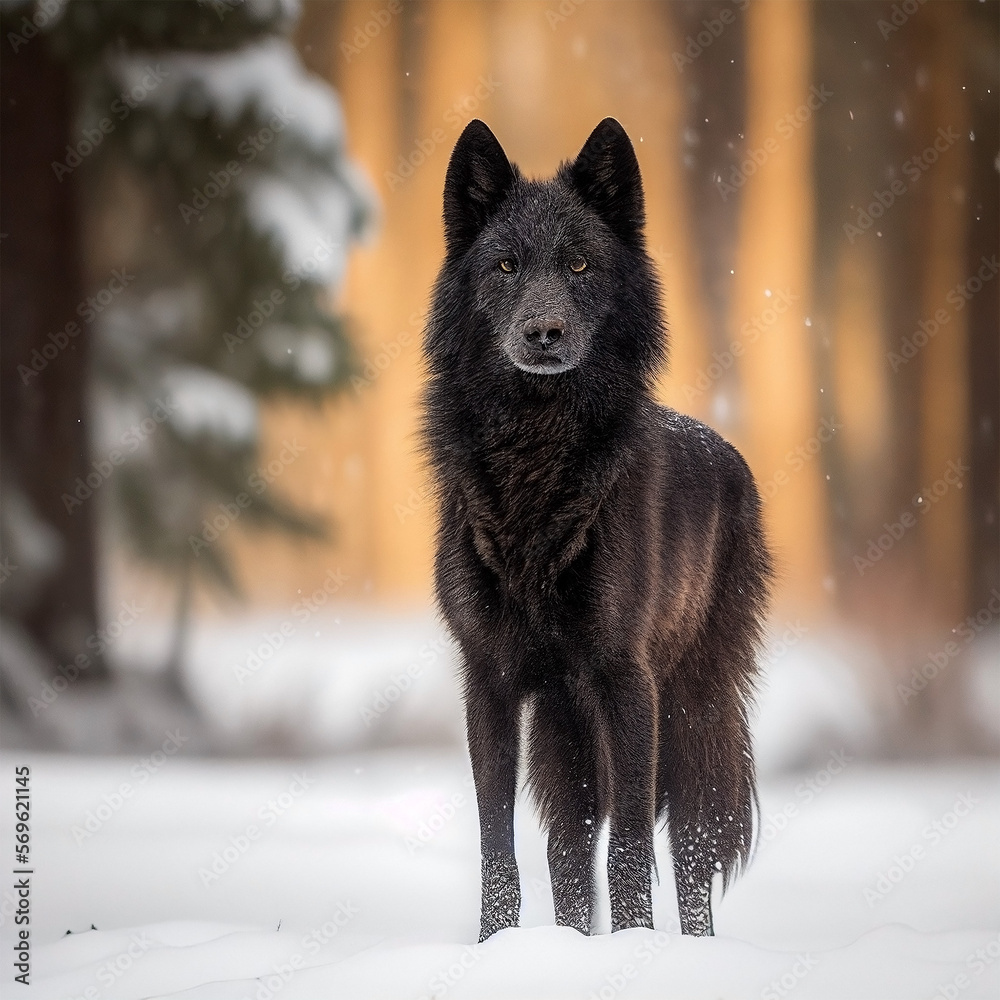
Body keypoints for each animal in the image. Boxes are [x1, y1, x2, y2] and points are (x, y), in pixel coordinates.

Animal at [423, 118, 772, 940]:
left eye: (579, 263)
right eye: (506, 265)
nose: (544, 332)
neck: (535, 455)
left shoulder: (626, 679)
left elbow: (634, 848)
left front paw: (638, 947)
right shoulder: (488, 680)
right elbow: (498, 848)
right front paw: (494, 947)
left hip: (691, 708)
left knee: (692, 846)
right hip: (566, 726)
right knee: (570, 848)